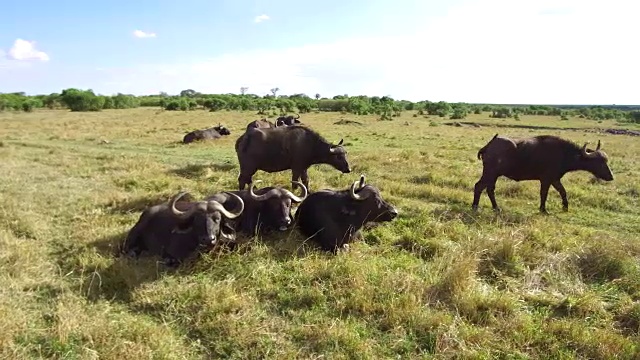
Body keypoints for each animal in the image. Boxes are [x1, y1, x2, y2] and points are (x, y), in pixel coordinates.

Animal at [470, 133, 616, 212]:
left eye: (606, 161)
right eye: (600, 162)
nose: (611, 177)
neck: (563, 153)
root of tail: (489, 145)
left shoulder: (555, 179)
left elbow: (563, 191)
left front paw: (565, 207)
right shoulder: (546, 179)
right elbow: (544, 194)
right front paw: (543, 209)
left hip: (493, 175)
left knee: (489, 189)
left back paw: (495, 207)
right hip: (490, 173)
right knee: (479, 186)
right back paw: (475, 206)